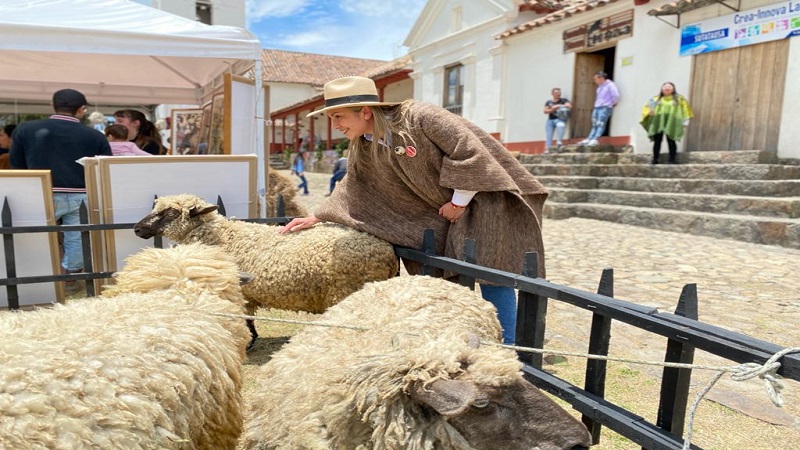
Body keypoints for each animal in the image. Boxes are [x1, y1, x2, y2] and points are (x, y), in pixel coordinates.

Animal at [134, 193, 404, 348]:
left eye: (170, 213)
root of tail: (387, 251)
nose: (137, 229)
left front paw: (248, 341)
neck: (222, 237)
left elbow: (244, 318)